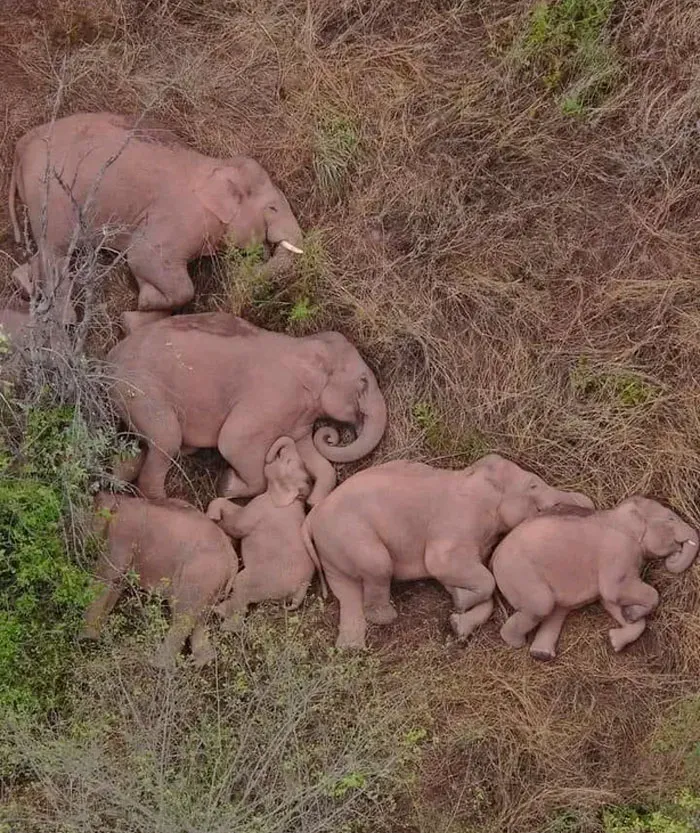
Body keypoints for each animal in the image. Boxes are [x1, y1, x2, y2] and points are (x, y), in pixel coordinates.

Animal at [8, 113, 304, 324]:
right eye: (272, 208)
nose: (240, 275)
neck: (217, 165)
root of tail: (21, 147)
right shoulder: (177, 218)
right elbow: (143, 258)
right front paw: (143, 304)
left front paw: (138, 313)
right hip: (50, 192)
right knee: (57, 250)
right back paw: (67, 319)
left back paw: (23, 283)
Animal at [81, 490, 239, 668]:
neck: (120, 498)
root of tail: (233, 560)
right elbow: (117, 582)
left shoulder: (123, 533)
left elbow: (107, 573)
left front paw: (87, 640)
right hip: (212, 583)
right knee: (199, 618)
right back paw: (201, 662)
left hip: (200, 573)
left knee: (183, 615)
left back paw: (158, 665)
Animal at [108, 312, 388, 504]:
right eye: (363, 382)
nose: (332, 435)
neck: (303, 344)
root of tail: (110, 359)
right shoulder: (273, 396)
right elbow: (232, 441)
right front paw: (226, 484)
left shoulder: (298, 418)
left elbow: (314, 456)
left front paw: (313, 500)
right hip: (141, 389)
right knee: (167, 439)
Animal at [204, 436, 322, 632]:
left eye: (287, 462)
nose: (271, 454)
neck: (296, 499)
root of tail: (301, 589)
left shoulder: (261, 507)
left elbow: (238, 525)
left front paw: (212, 517)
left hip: (263, 579)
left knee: (242, 590)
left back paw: (222, 619)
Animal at [302, 452, 596, 648]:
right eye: (533, 485)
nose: (589, 502)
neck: (474, 476)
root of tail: (312, 515)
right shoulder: (457, 522)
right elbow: (445, 566)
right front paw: (461, 602)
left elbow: (458, 578)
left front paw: (457, 618)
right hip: (349, 533)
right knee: (377, 565)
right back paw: (386, 616)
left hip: (332, 549)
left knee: (346, 591)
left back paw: (350, 646)